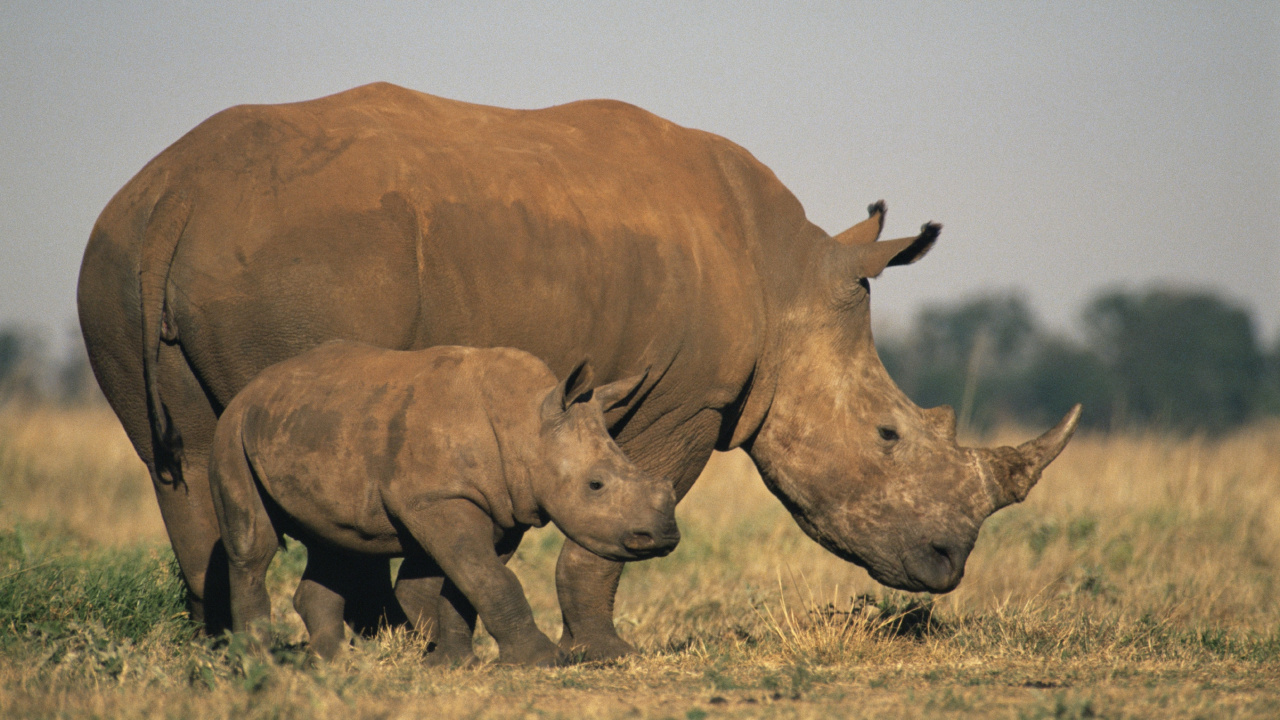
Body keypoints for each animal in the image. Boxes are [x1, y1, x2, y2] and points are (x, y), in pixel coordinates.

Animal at [210, 341, 674, 664]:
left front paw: (453, 664)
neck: (525, 422)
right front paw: (543, 660)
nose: (663, 536)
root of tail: (257, 383)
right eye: (595, 485)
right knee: (253, 548)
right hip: (233, 429)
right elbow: (490, 579)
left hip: (315, 425)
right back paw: (258, 664)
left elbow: (472, 580)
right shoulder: (438, 498)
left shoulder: (503, 510)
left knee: (336, 541)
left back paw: (335, 664)